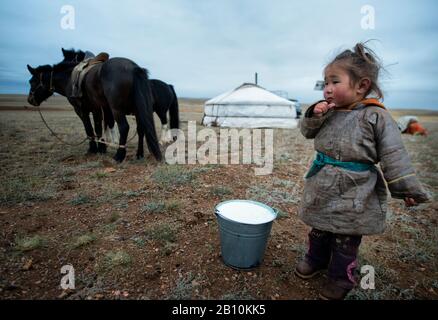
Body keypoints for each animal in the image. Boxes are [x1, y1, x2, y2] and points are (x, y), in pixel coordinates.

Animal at [26, 56, 162, 161]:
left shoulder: (81, 110)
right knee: (141, 129)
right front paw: (101, 148)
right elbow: (98, 128)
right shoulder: (99, 109)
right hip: (137, 109)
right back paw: (139, 154)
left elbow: (89, 129)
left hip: (117, 109)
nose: (30, 100)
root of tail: (133, 67)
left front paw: (92, 149)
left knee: (124, 127)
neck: (69, 78)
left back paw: (119, 155)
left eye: (32, 81)